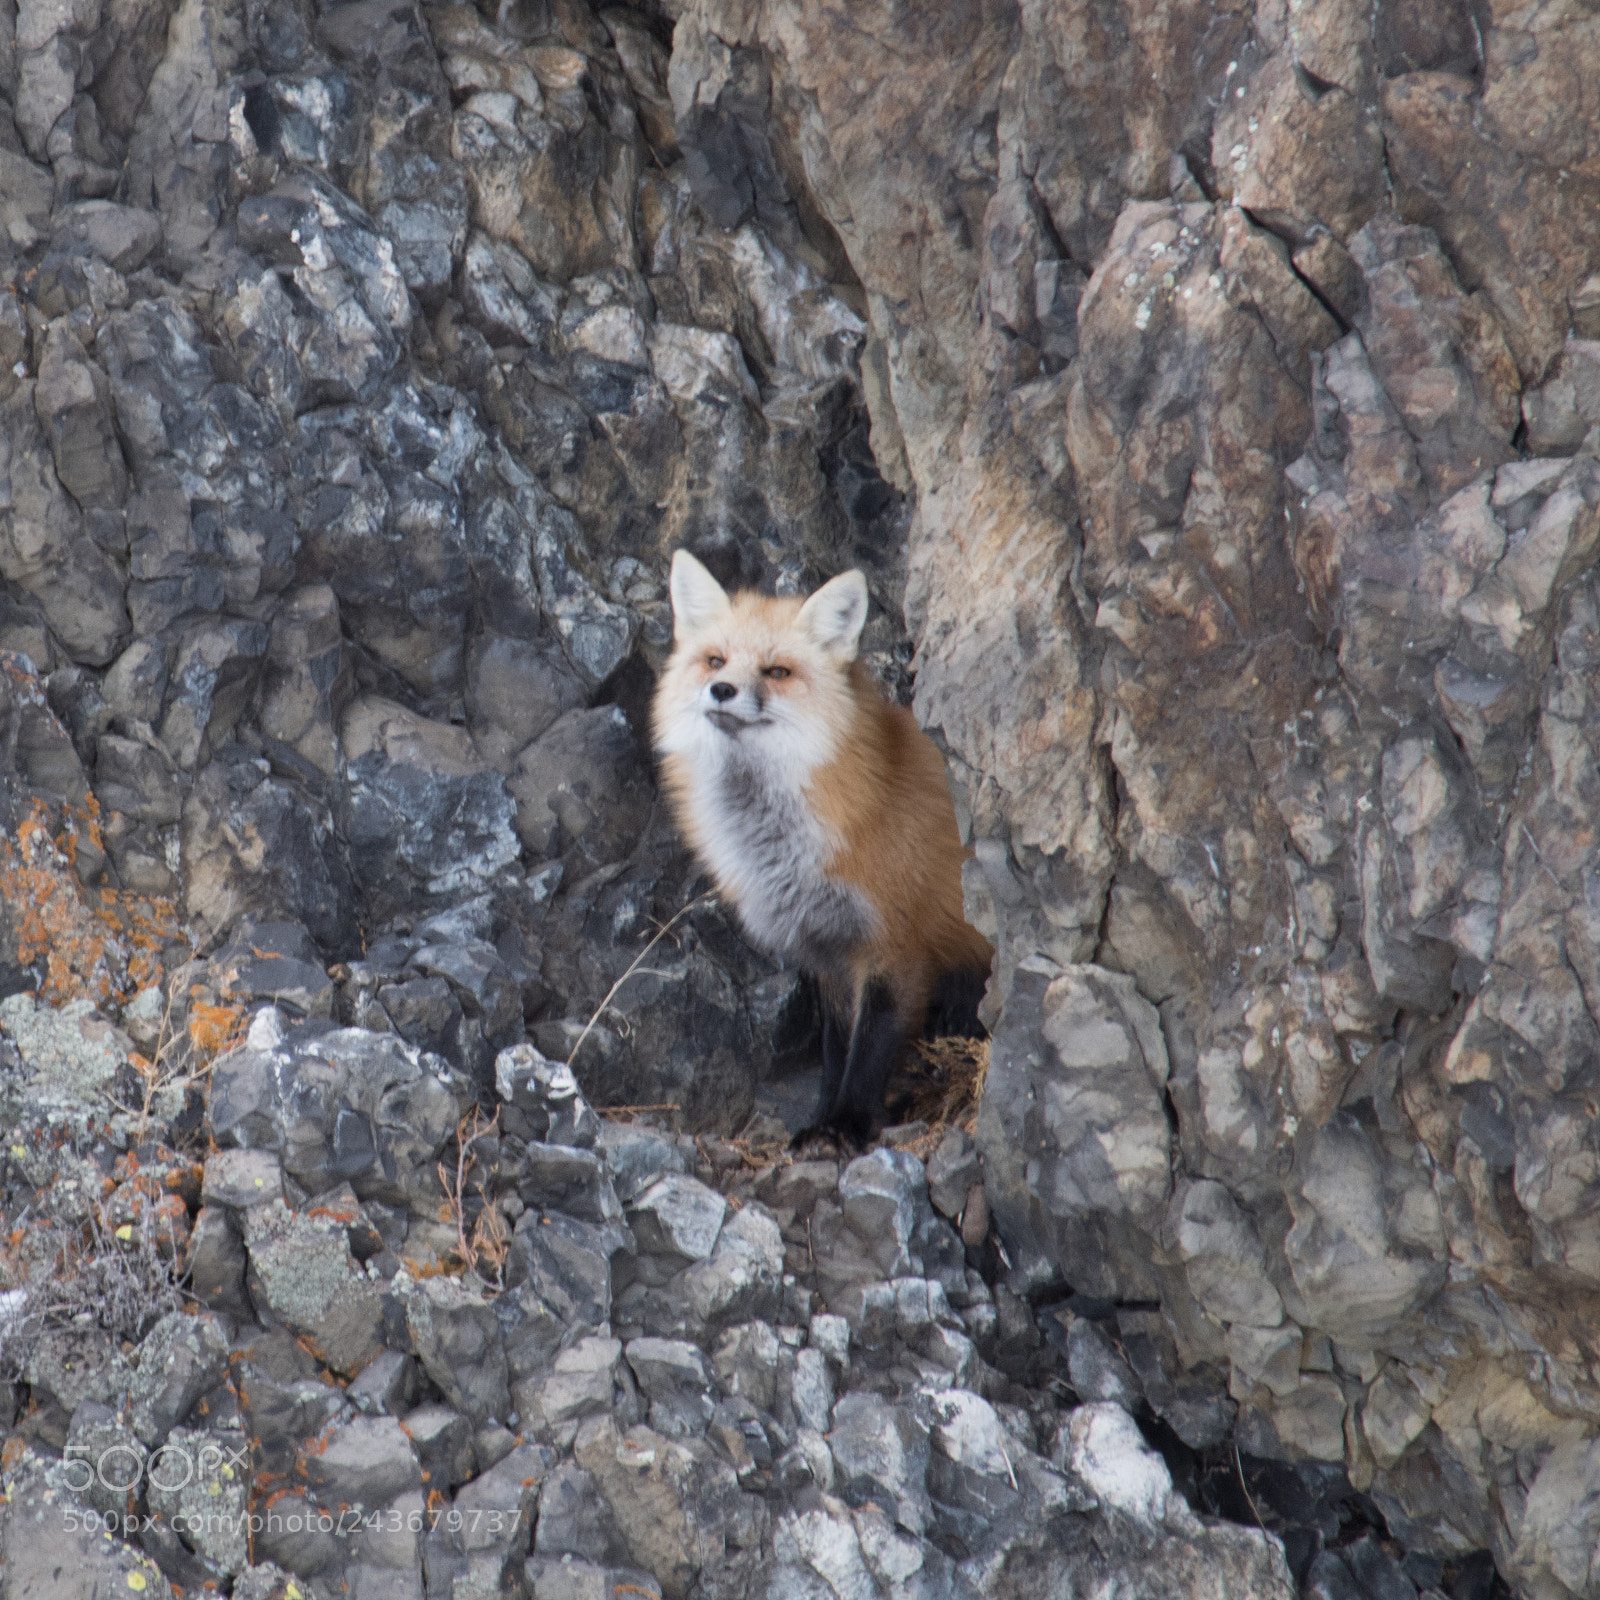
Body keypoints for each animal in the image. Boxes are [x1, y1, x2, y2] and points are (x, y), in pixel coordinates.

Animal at [652, 548, 992, 1145]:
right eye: (715, 661)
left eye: (778, 672)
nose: (722, 690)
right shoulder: (829, 951)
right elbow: (836, 1051)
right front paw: (820, 1119)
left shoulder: (895, 946)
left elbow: (870, 1048)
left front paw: (847, 1125)